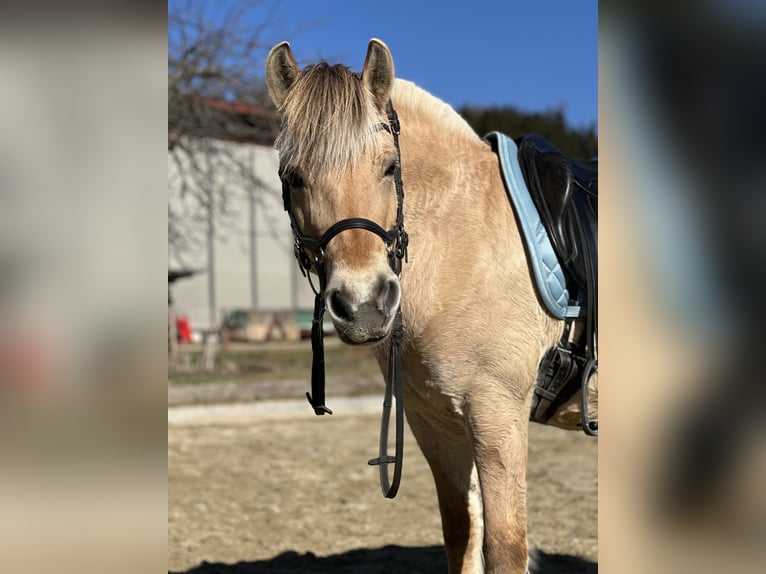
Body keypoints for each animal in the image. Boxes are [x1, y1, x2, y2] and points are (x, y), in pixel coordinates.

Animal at [265, 38, 596, 574]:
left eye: (389, 167)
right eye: (292, 177)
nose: (364, 305)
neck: (463, 240)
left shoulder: (497, 413)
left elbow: (505, 545)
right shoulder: (435, 421)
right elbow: (461, 535)